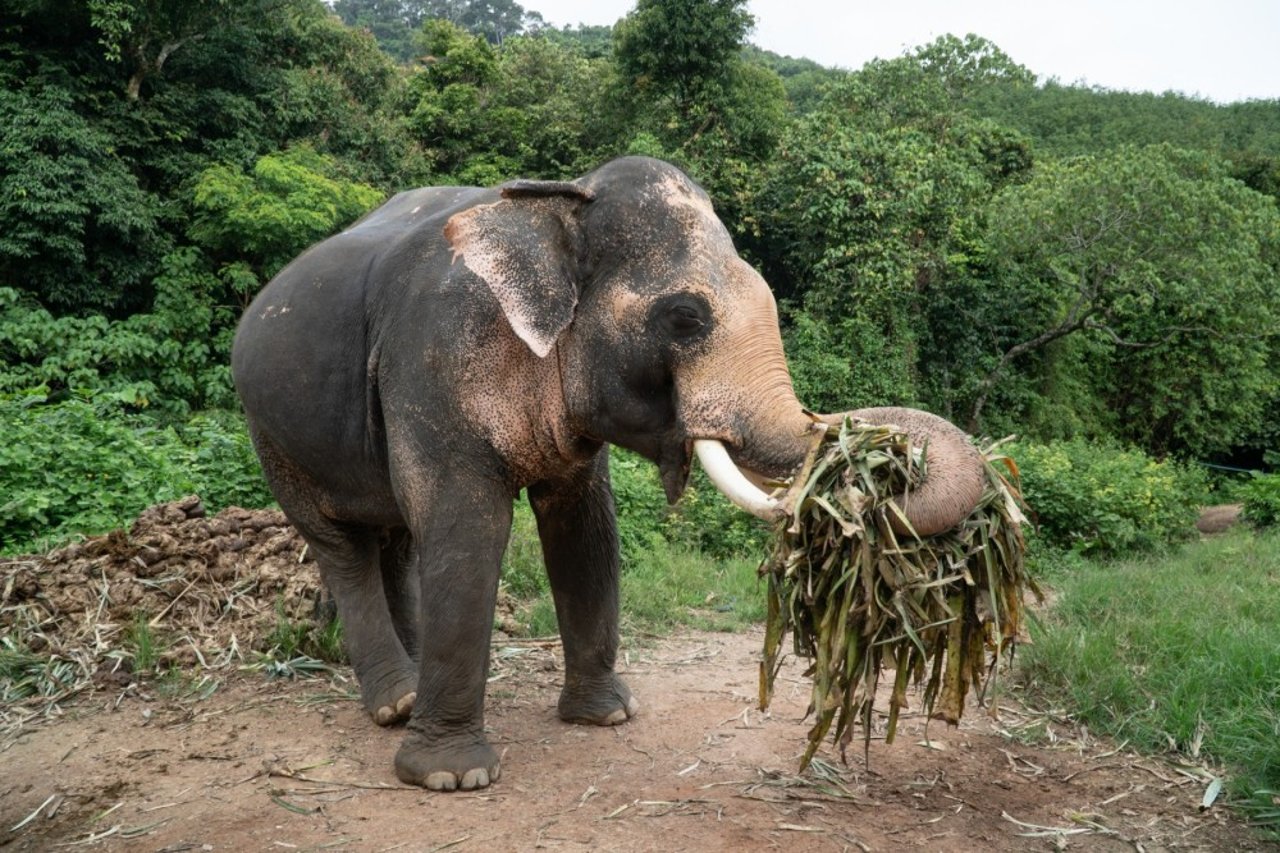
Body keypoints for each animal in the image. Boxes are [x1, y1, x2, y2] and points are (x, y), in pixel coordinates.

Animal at [230, 154, 977, 788]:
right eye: (684, 318)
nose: (884, 462)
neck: (561, 204)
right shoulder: (432, 360)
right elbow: (469, 525)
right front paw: (451, 778)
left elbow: (585, 526)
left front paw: (608, 716)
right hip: (271, 433)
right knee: (342, 545)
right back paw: (395, 702)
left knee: (398, 537)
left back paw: (412, 687)